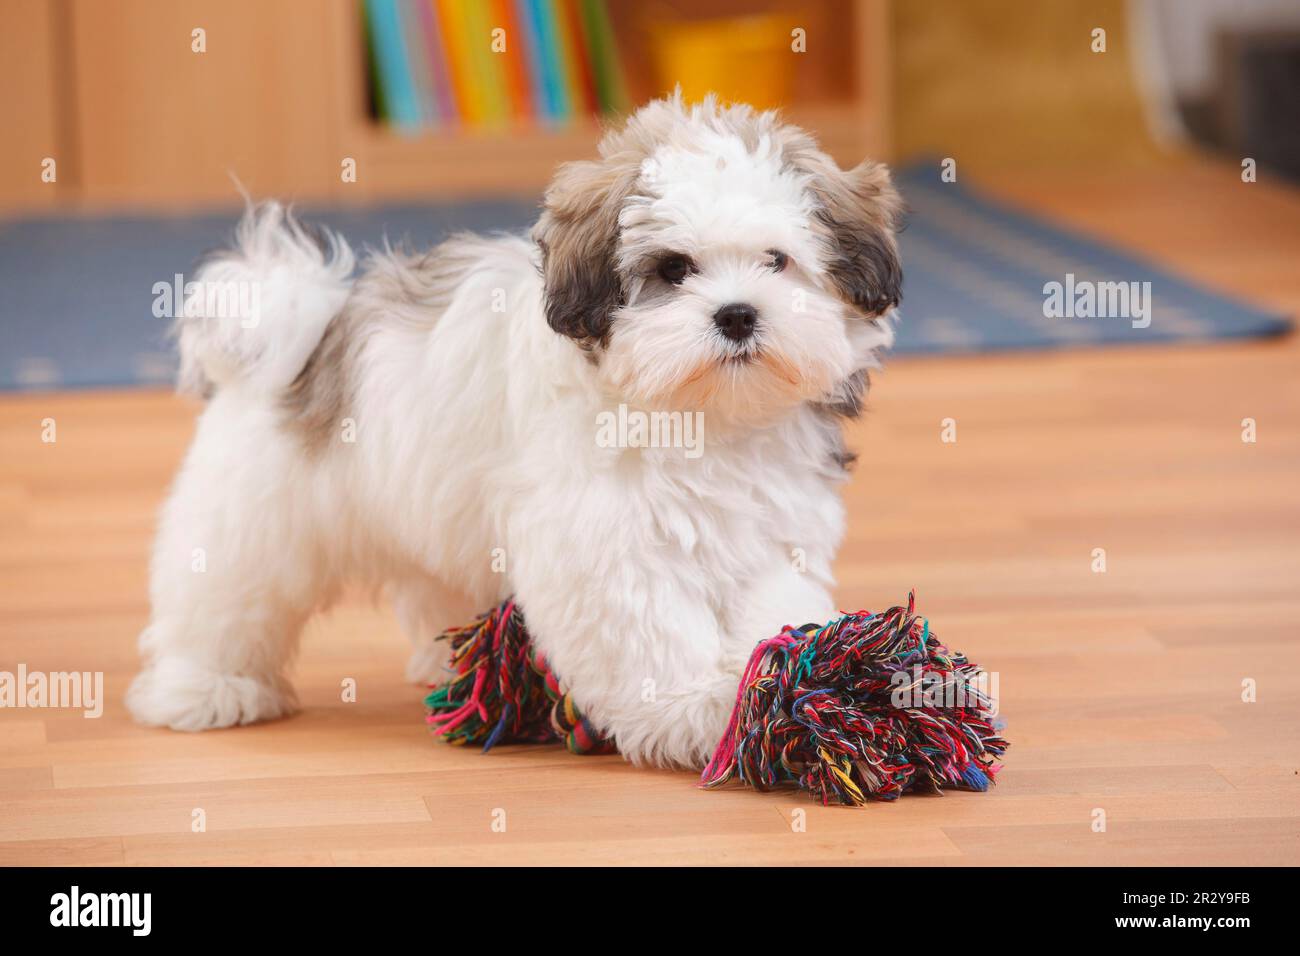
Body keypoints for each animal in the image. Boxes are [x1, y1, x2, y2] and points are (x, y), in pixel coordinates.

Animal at [131, 95, 904, 770]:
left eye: (777, 260)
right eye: (673, 269)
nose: (738, 314)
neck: (705, 415)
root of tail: (308, 321)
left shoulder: (770, 528)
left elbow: (770, 599)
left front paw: (773, 679)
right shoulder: (607, 542)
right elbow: (649, 627)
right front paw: (696, 710)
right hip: (255, 516)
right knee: (225, 594)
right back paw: (208, 687)